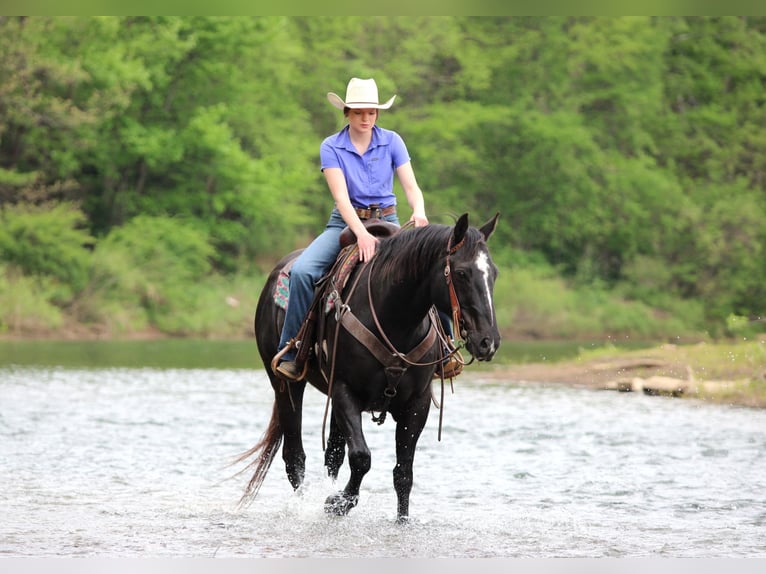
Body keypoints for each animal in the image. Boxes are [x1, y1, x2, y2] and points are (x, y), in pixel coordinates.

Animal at [237, 212, 501, 522]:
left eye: (493, 273)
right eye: (461, 273)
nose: (488, 341)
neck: (395, 320)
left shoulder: (417, 402)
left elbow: (403, 473)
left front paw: (401, 521)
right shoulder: (345, 391)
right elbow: (362, 458)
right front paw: (338, 503)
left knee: (333, 455)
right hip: (285, 384)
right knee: (295, 456)